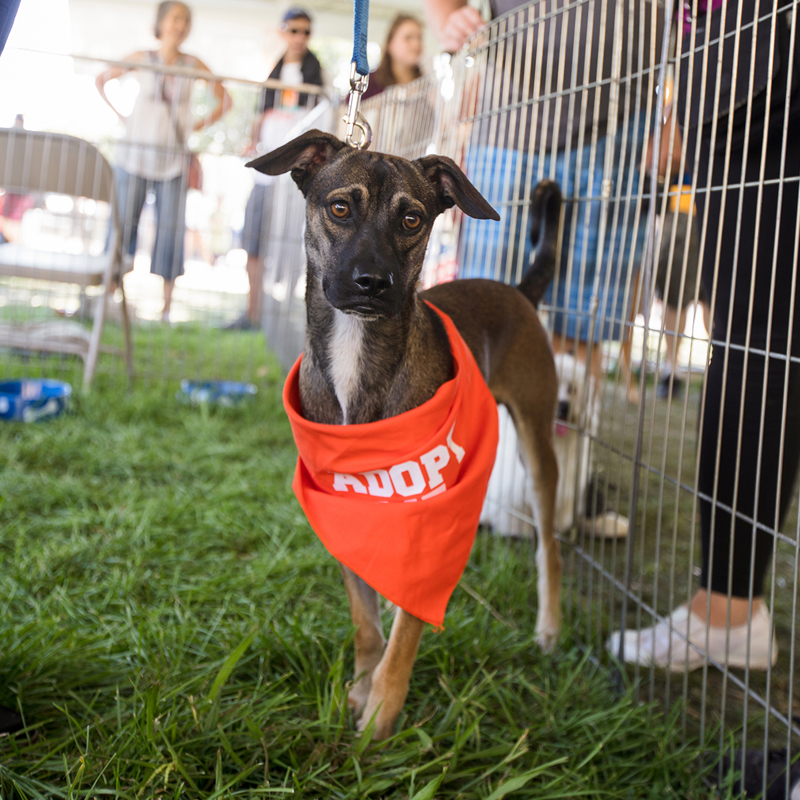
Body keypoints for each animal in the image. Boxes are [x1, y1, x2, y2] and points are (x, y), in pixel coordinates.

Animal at [248, 130, 564, 736]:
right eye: (340, 208)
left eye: (412, 219)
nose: (373, 283)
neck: (357, 351)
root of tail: (517, 290)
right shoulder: (346, 509)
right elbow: (365, 623)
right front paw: (359, 687)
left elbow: (403, 642)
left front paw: (379, 719)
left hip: (538, 445)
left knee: (549, 548)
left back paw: (551, 625)